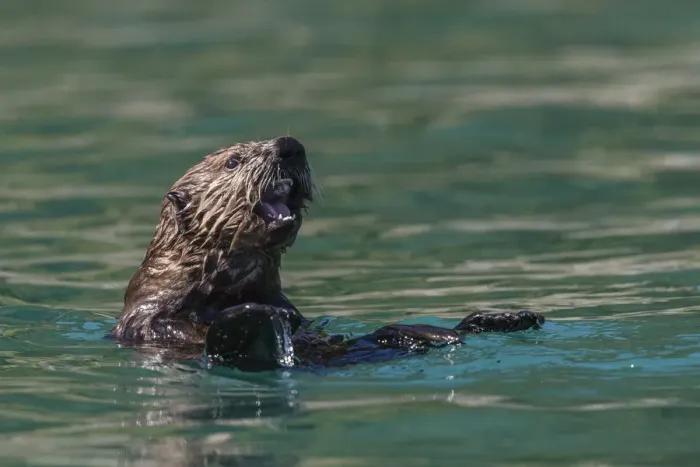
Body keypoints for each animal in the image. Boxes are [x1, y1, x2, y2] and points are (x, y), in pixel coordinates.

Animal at [112, 136, 544, 371]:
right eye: (233, 161)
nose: (290, 146)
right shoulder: (149, 316)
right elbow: (176, 329)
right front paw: (252, 315)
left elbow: (297, 318)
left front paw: (278, 316)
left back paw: (508, 317)